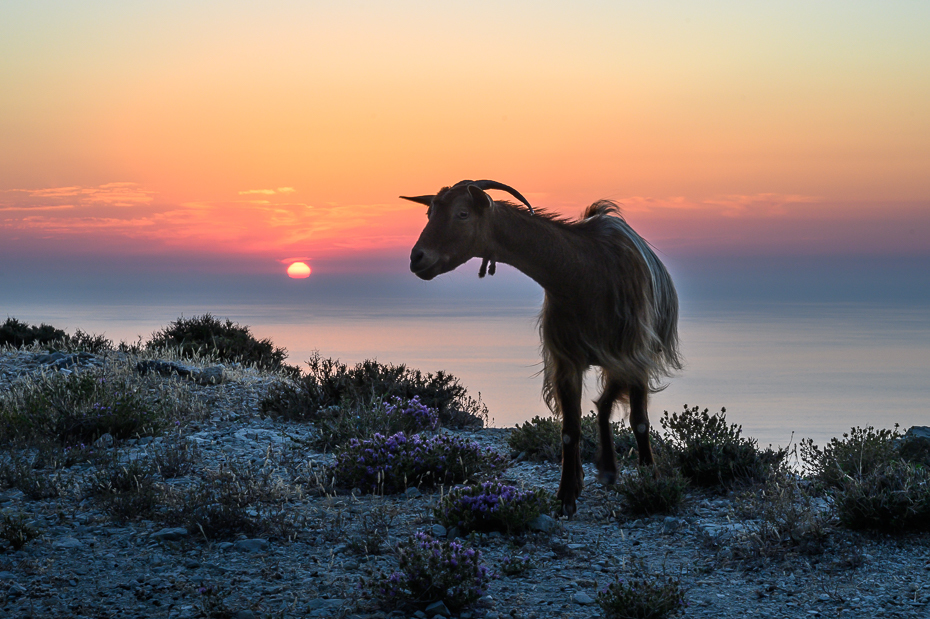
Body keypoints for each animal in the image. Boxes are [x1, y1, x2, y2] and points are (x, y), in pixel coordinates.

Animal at [400, 180, 680, 520]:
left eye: (462, 214)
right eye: (429, 212)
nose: (417, 258)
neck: (583, 271)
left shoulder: (633, 354)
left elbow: (634, 417)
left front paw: (643, 477)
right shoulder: (567, 360)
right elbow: (570, 429)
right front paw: (566, 496)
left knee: (619, 407)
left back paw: (626, 471)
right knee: (600, 406)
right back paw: (599, 471)